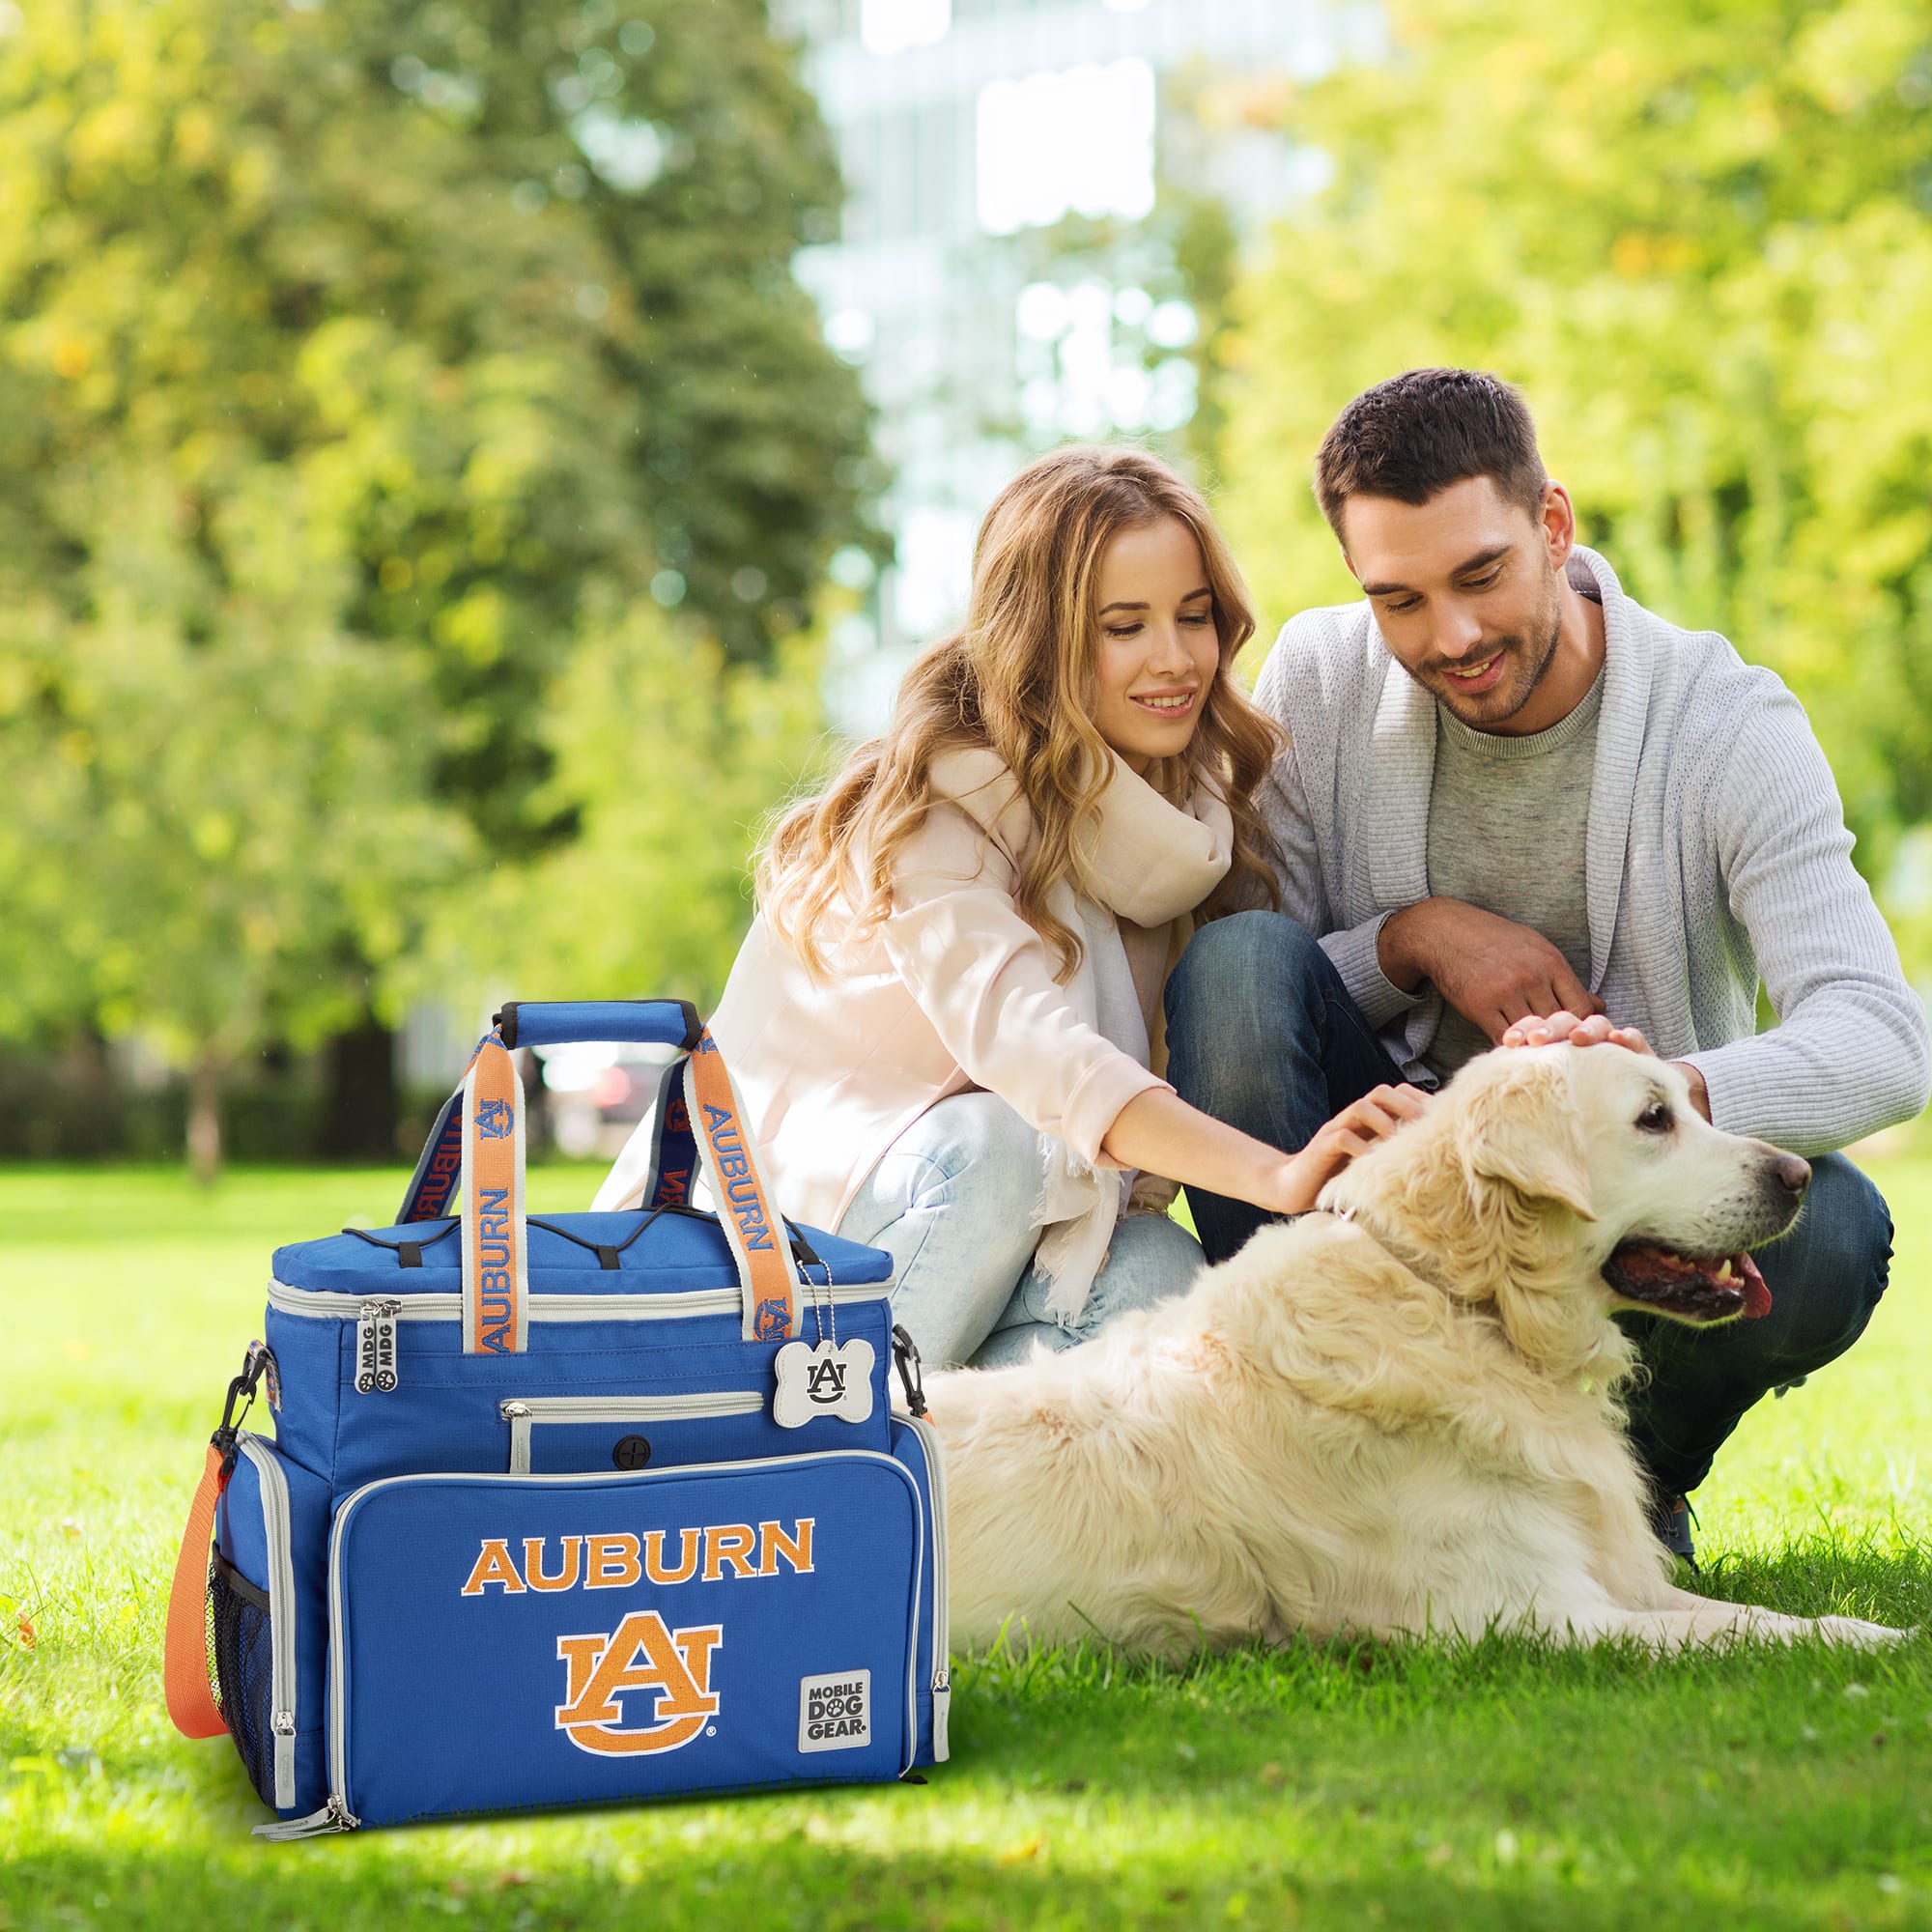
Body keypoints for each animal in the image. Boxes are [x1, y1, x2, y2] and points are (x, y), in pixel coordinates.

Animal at [927, 1051, 1909, 1654]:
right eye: (1653, 1119)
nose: (1797, 1175)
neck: (1467, 1307)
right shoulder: (1535, 1618)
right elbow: (1759, 1632)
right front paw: (1891, 1644)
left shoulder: (1612, 1578)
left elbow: (1754, 1612)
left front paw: (1871, 1630)